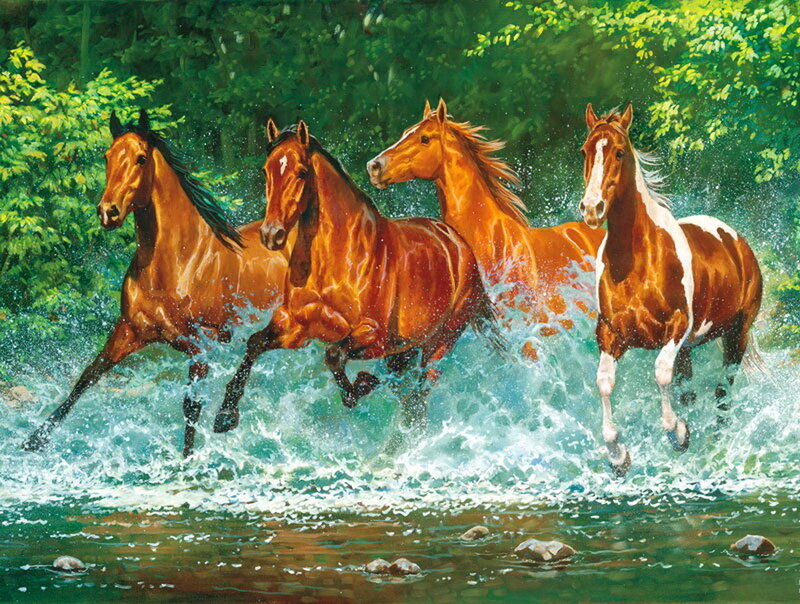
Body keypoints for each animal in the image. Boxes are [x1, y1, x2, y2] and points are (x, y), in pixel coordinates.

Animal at [21, 109, 290, 458]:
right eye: (107, 156)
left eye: (141, 158)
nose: (108, 212)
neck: (179, 263)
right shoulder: (128, 331)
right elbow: (86, 378)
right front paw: (35, 439)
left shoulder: (201, 345)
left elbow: (191, 406)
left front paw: (187, 461)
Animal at [211, 119, 502, 434]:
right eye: (266, 171)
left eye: (301, 172)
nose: (271, 234)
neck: (335, 259)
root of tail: (459, 243)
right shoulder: (295, 324)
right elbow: (254, 343)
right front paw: (225, 415)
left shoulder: (373, 336)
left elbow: (334, 356)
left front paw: (363, 383)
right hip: (405, 351)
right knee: (410, 399)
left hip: (439, 343)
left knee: (420, 394)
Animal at [579, 103, 762, 476]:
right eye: (585, 151)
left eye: (619, 152)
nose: (592, 209)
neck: (634, 261)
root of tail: (738, 241)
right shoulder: (611, 334)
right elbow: (605, 382)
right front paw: (618, 456)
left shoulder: (675, 329)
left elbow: (661, 376)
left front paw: (678, 434)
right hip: (691, 350)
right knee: (690, 392)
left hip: (737, 335)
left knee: (723, 393)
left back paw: (716, 446)